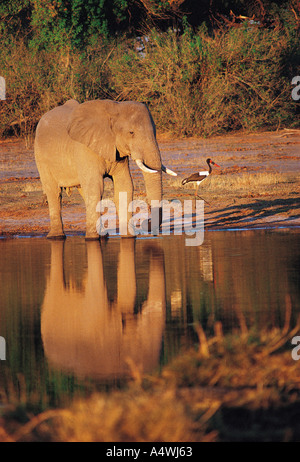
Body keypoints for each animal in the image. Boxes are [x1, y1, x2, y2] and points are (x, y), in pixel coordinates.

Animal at [34, 99, 176, 240]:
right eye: (131, 133)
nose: (146, 222)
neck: (115, 109)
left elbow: (124, 185)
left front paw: (129, 236)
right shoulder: (85, 149)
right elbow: (96, 187)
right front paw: (92, 238)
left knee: (84, 192)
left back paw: (103, 235)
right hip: (41, 158)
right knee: (54, 192)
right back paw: (56, 237)